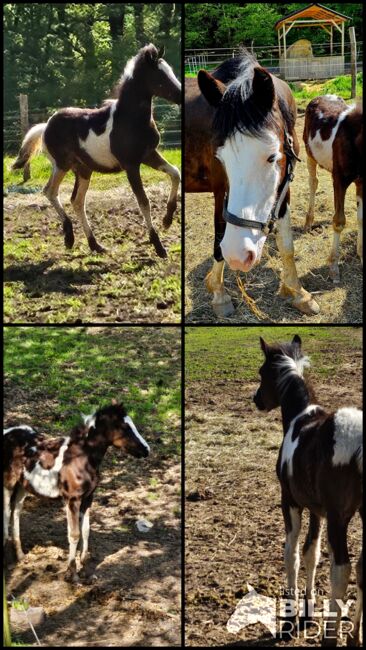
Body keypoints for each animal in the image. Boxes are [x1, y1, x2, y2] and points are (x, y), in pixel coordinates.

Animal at [3, 402, 149, 580]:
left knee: (15, 512)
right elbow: (74, 534)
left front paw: (84, 566)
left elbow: (85, 531)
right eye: (125, 427)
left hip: (22, 487)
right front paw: (71, 572)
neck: (82, 458)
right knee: (6, 513)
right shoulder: (72, 500)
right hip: (8, 483)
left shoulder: (88, 498)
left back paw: (20, 555)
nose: (146, 450)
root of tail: (7, 433)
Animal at [12, 43, 181, 258]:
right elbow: (143, 201)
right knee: (50, 191)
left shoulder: (149, 155)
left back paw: (95, 244)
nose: (180, 95)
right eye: (160, 75)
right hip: (62, 165)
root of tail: (46, 126)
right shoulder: (131, 165)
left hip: (84, 170)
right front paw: (159, 246)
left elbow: (175, 173)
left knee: (77, 201)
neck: (129, 119)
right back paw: (69, 237)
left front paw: (167, 219)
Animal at [184, 50, 318, 316]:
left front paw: (298, 293)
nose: (239, 256)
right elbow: (219, 239)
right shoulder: (220, 190)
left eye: (272, 157)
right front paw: (219, 293)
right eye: (220, 158)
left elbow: (286, 243)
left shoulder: (283, 186)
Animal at [254, 336, 364, 644]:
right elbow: (311, 553)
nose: (257, 400)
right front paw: (307, 611)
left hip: (340, 517)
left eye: (261, 373)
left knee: (342, 569)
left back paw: (331, 637)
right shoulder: (318, 510)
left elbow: (291, 552)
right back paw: (354, 636)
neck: (299, 420)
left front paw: (290, 618)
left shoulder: (290, 501)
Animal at [304, 95, 364, 280]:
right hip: (309, 154)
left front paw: (361, 255)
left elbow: (360, 218)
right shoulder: (340, 179)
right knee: (313, 182)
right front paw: (333, 268)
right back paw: (308, 221)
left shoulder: (362, 182)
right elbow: (338, 221)